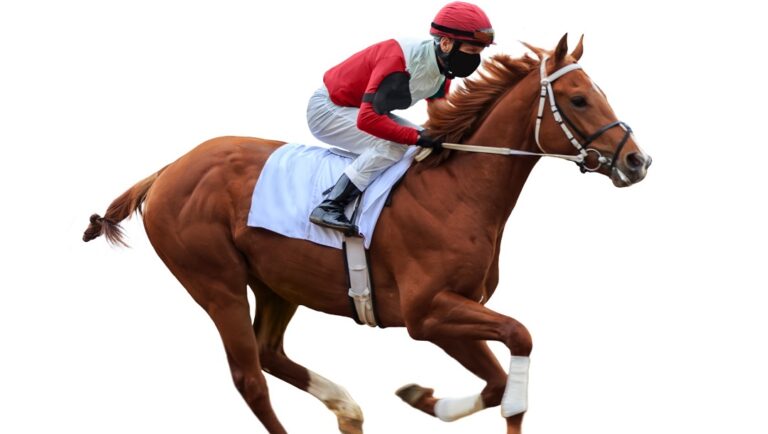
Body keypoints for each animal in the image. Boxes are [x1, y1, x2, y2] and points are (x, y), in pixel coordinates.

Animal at [82, 34, 651, 434]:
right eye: (578, 100)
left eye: (598, 93)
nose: (636, 161)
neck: (459, 190)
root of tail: (167, 170)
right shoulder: (427, 313)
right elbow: (519, 337)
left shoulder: (453, 312)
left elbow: (495, 383)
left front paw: (421, 397)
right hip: (215, 282)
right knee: (249, 378)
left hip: (278, 282)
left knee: (268, 353)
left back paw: (347, 409)